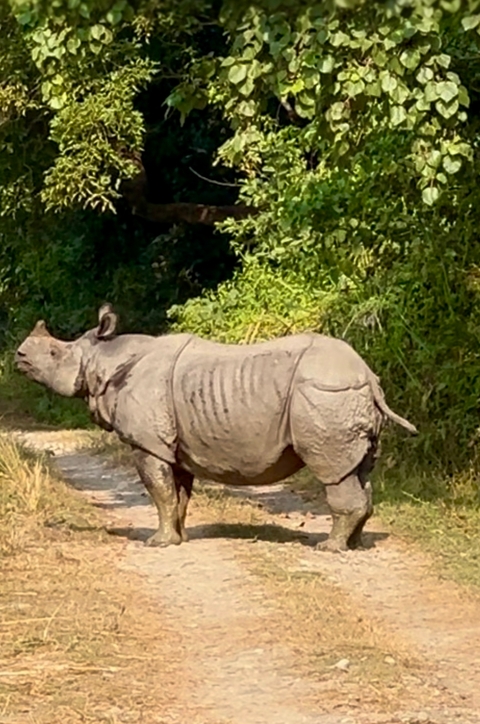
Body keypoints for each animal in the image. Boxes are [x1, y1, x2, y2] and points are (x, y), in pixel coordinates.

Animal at [14, 304, 417, 552]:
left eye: (55, 355)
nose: (18, 356)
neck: (104, 358)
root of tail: (366, 375)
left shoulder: (147, 442)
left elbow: (159, 491)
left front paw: (157, 543)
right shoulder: (172, 443)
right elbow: (176, 494)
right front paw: (177, 538)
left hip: (325, 393)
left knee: (332, 471)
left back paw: (329, 548)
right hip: (345, 395)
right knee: (359, 469)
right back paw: (354, 546)